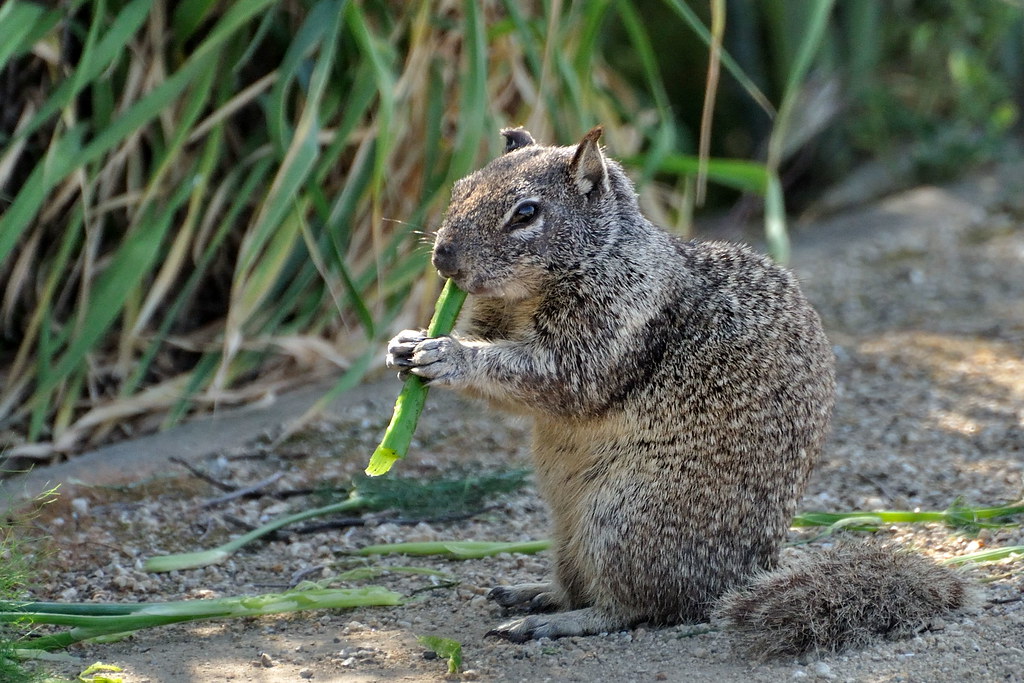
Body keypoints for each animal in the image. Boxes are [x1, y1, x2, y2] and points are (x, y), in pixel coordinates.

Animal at [386, 126, 970, 656]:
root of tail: (744, 576)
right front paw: (405, 342)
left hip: (623, 521)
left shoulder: (612, 327)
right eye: (461, 187)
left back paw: (554, 622)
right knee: (578, 585)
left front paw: (448, 353)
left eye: (526, 213)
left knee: (632, 606)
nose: (443, 258)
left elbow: (552, 377)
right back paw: (534, 592)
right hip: (570, 529)